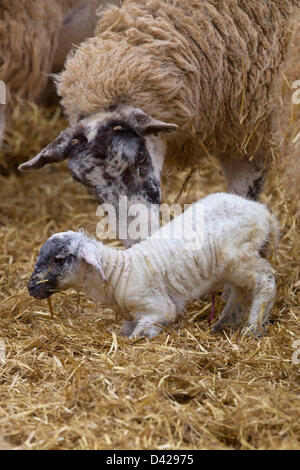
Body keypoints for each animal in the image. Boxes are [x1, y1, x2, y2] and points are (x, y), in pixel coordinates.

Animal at [27, 193, 278, 340]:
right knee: (242, 289)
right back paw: (225, 323)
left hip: (238, 255)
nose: (31, 288)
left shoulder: (159, 309)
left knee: (265, 280)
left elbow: (139, 334)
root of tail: (264, 212)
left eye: (59, 259)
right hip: (232, 266)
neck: (119, 273)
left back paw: (253, 328)